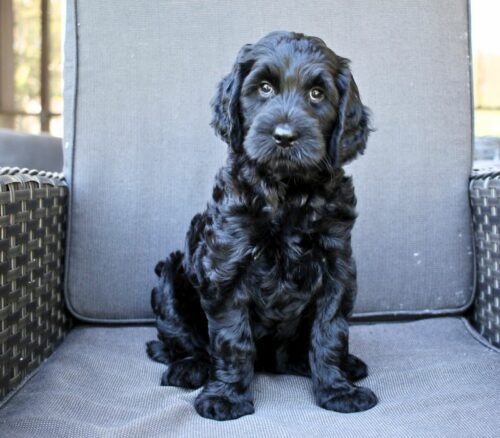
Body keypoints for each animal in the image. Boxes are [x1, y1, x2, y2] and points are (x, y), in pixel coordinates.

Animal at [146, 30, 376, 420]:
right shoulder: (227, 266)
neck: (286, 191)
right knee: (178, 341)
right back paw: (188, 367)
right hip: (170, 278)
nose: (284, 136)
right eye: (265, 88)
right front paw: (225, 397)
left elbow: (330, 332)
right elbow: (232, 340)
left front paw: (337, 390)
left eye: (317, 94)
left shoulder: (337, 266)